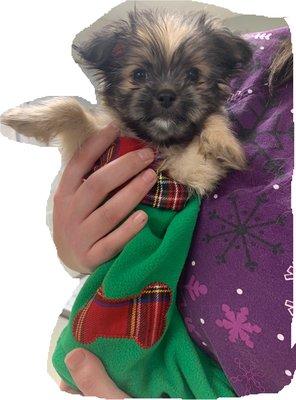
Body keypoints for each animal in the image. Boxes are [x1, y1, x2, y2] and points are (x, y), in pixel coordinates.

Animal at [0, 10, 252, 195]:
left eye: (193, 74)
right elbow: (71, 108)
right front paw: (23, 117)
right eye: (139, 75)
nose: (167, 94)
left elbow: (214, 118)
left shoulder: (189, 171)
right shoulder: (92, 148)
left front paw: (224, 142)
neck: (154, 142)